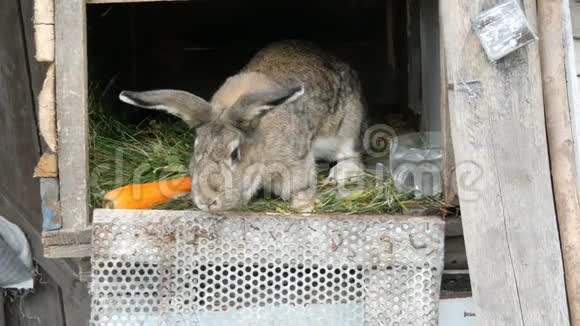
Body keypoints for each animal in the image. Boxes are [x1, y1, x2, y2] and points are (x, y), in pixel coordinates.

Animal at [121, 40, 368, 211]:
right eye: (196, 150)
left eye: (235, 154)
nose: (207, 201)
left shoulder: (296, 161)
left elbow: (300, 184)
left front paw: (304, 206)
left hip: (347, 128)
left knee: (351, 155)